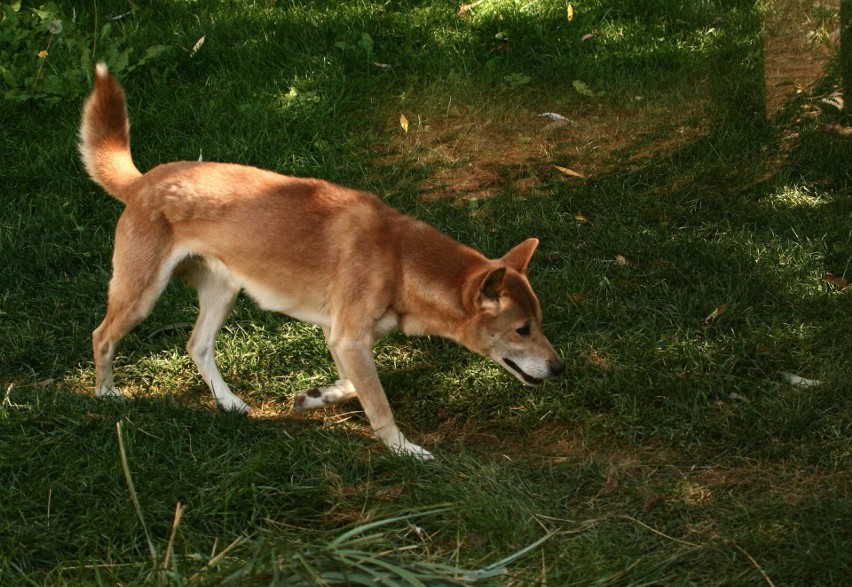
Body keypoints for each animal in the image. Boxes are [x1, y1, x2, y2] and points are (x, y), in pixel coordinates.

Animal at [76, 64, 564, 460]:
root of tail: (143, 181)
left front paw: (314, 397)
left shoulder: (342, 338)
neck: (400, 260)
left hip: (223, 291)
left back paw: (229, 402)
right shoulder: (349, 339)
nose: (560, 368)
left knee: (197, 345)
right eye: (522, 330)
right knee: (102, 336)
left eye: (539, 322)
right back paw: (106, 394)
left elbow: (353, 387)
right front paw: (405, 450)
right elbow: (379, 405)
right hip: (141, 294)